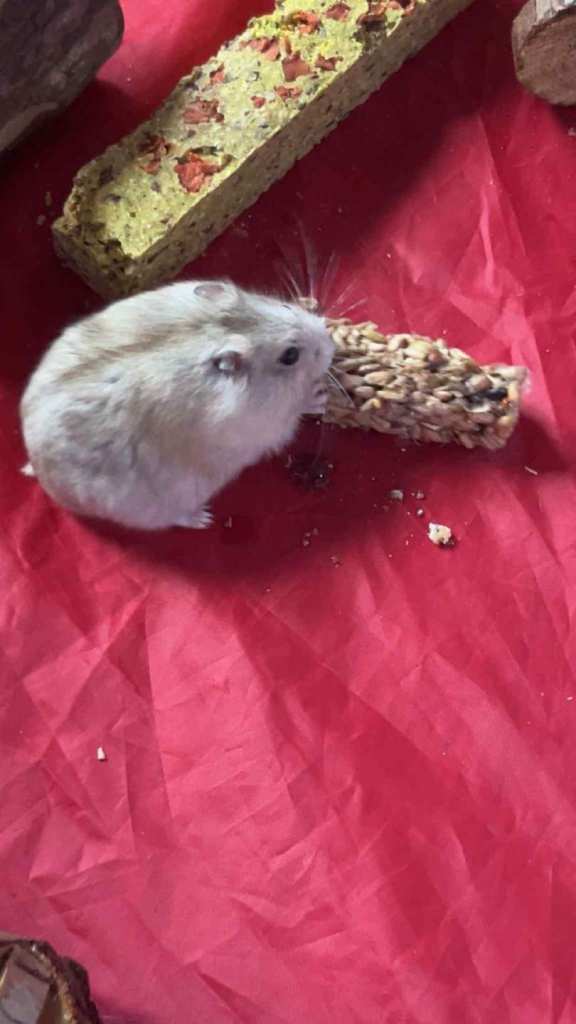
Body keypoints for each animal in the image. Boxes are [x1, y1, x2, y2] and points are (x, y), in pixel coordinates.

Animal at [20, 280, 334, 530]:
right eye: (290, 355)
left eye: (285, 306)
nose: (331, 342)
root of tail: (38, 468)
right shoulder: (267, 425)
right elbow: (295, 411)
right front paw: (319, 395)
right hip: (154, 507)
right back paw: (203, 518)